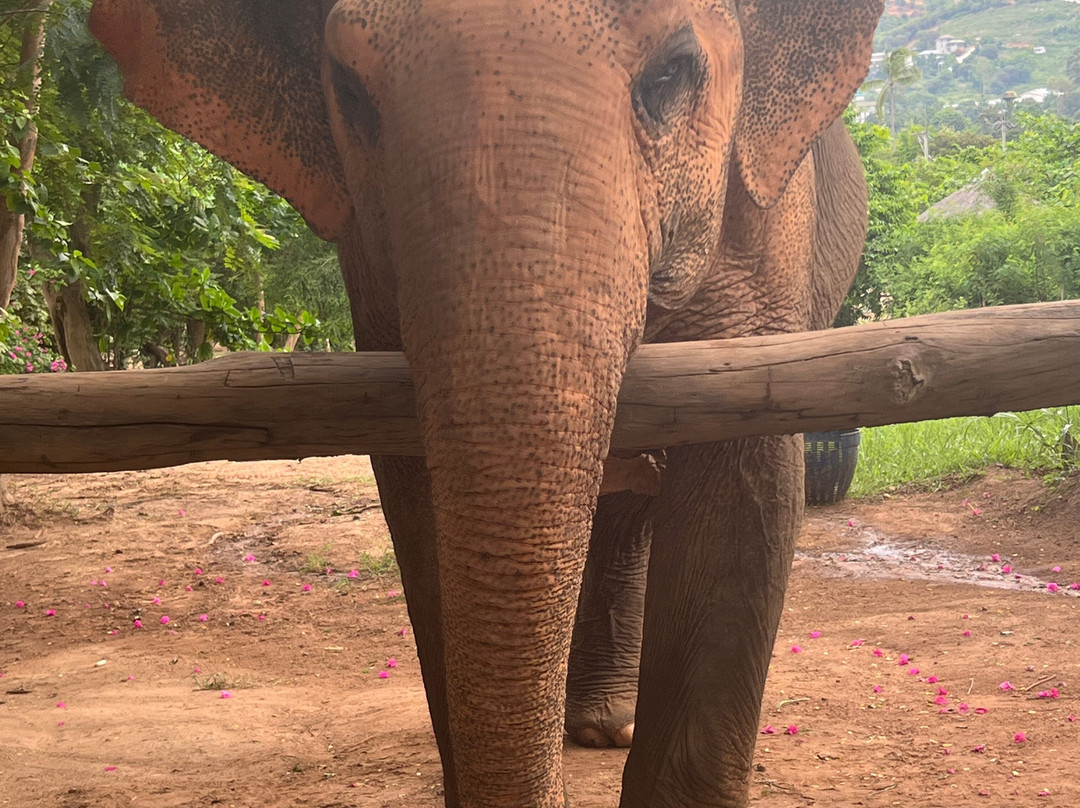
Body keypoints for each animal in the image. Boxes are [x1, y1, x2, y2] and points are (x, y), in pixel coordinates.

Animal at [88, 1, 884, 806]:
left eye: (673, 72)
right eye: (352, 94)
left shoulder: (770, 218)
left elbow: (741, 479)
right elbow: (417, 493)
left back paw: (606, 728)